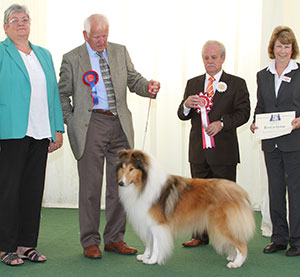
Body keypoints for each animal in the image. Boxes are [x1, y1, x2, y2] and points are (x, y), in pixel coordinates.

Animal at [117, 149, 255, 268]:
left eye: (131, 169)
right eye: (123, 167)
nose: (120, 183)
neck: (142, 185)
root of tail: (239, 191)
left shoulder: (158, 224)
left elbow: (156, 245)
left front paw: (152, 260)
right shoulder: (147, 222)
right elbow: (149, 242)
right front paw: (145, 256)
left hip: (224, 224)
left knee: (242, 244)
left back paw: (237, 263)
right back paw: (233, 257)